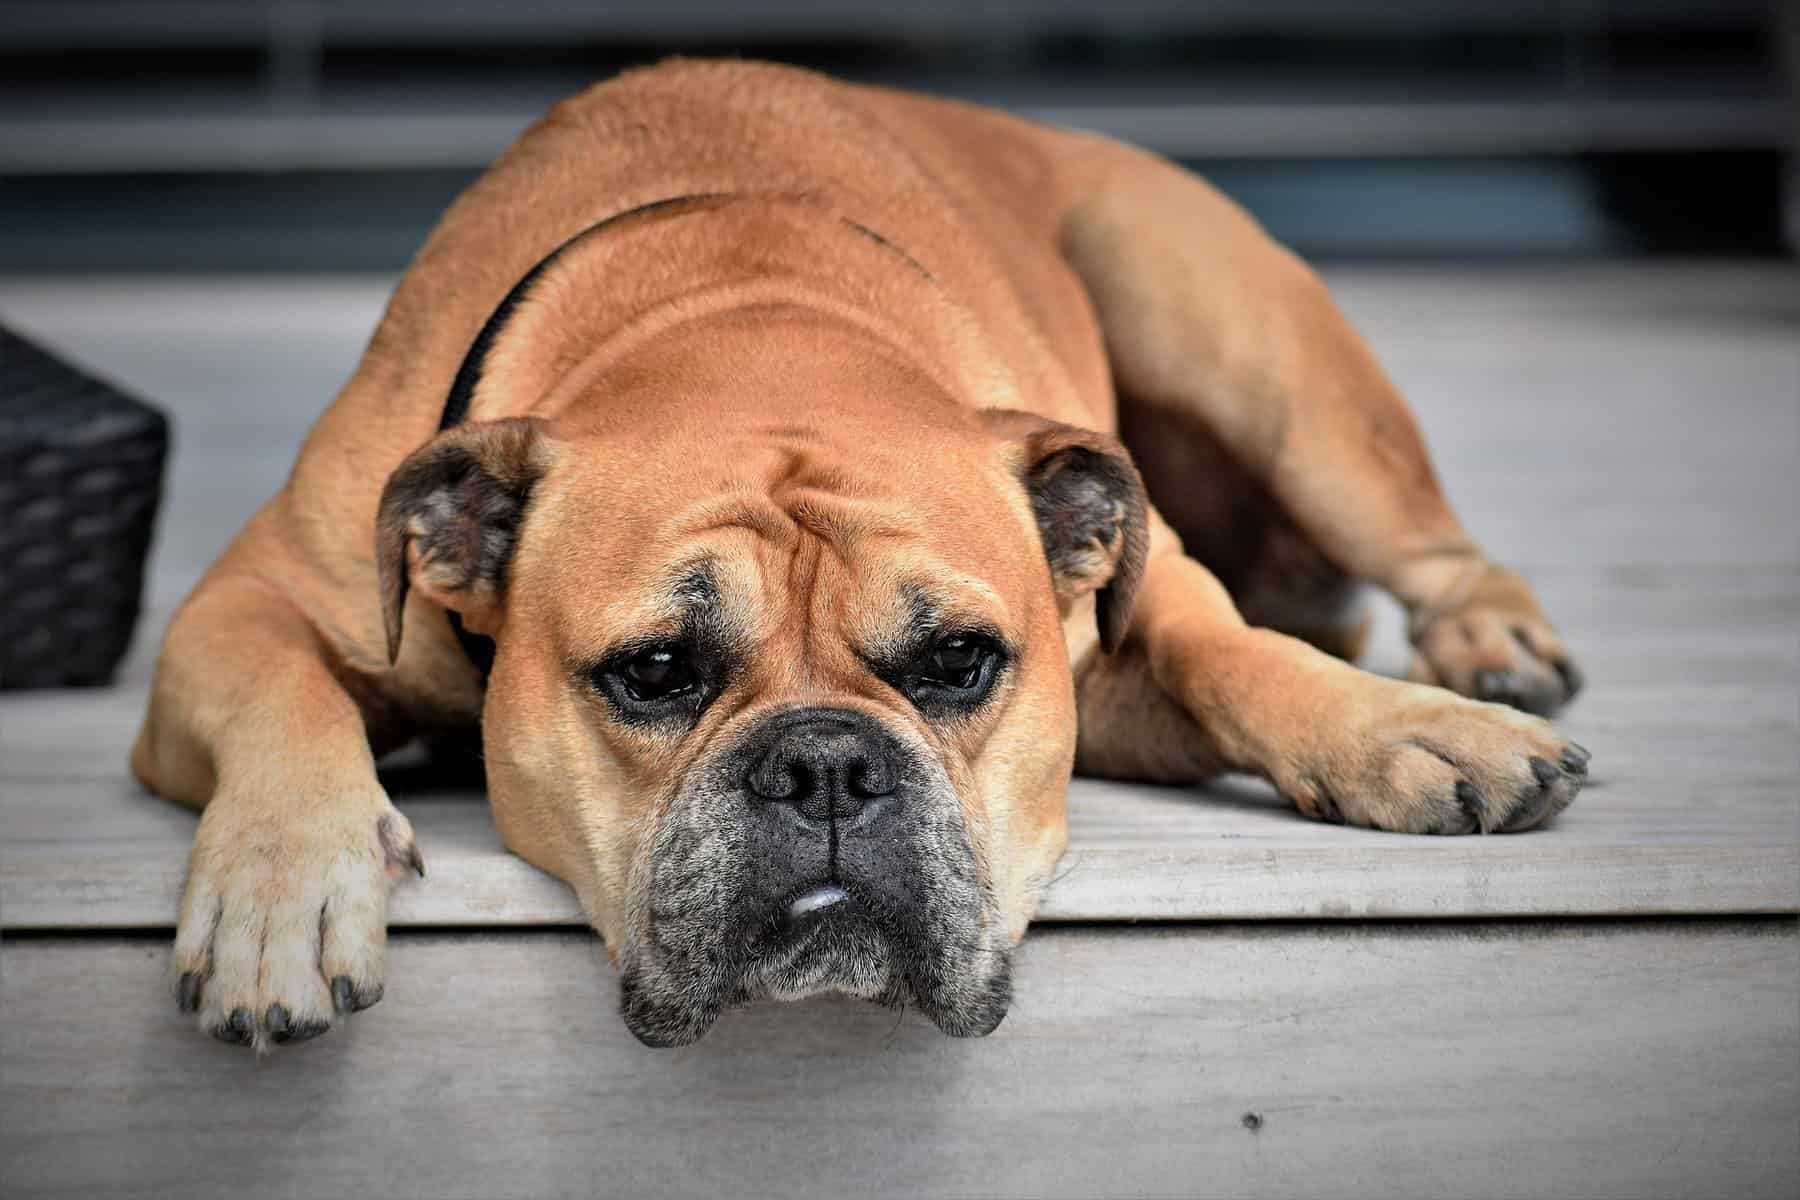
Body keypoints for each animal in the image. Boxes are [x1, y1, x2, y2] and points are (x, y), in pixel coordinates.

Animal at [133, 58, 1584, 1050]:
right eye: (654, 672)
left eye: (960, 662)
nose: (826, 764)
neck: (743, 314)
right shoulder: (242, 604)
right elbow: (283, 691)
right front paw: (281, 890)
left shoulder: (1139, 595)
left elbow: (1230, 648)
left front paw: (1403, 730)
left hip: (1252, 350)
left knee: (1422, 548)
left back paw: (1486, 651)